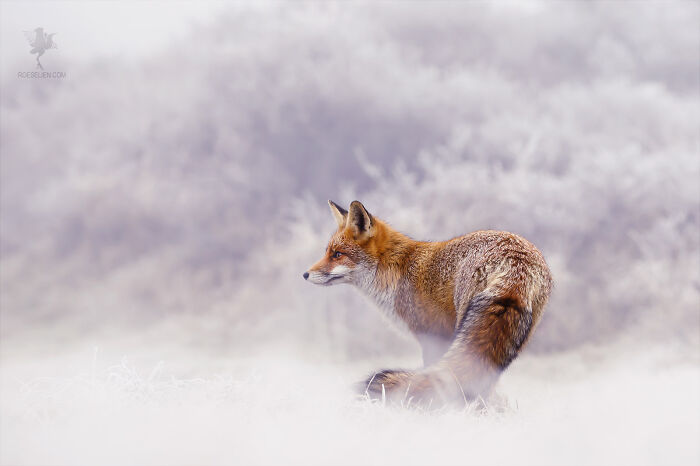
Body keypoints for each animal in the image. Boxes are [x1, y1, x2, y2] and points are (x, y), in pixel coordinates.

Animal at [303, 200, 553, 407]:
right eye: (327, 252)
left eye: (337, 254)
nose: (305, 274)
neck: (396, 271)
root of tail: (515, 263)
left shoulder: (432, 334)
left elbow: (430, 372)